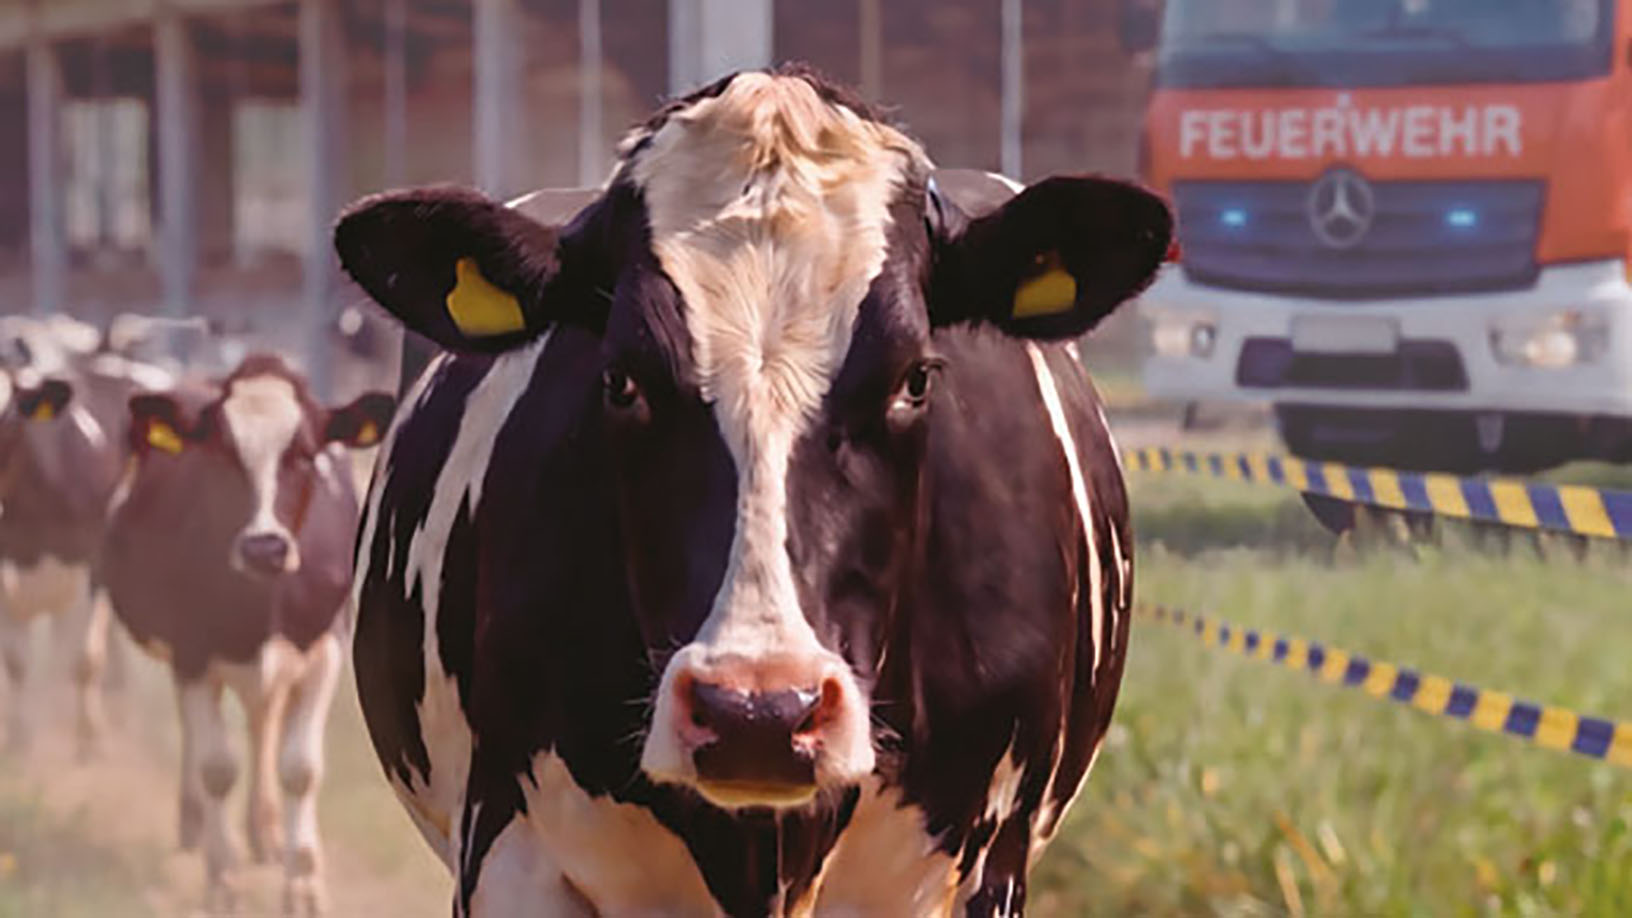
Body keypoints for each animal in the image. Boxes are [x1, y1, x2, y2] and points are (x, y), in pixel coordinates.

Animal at [101, 353, 394, 915]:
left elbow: (300, 768)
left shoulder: (323, 648)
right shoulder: (191, 652)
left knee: (264, 724)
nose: (264, 547)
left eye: (304, 455)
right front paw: (223, 879)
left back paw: (267, 833)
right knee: (202, 735)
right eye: (220, 452)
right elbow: (217, 767)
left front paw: (302, 884)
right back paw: (196, 823)